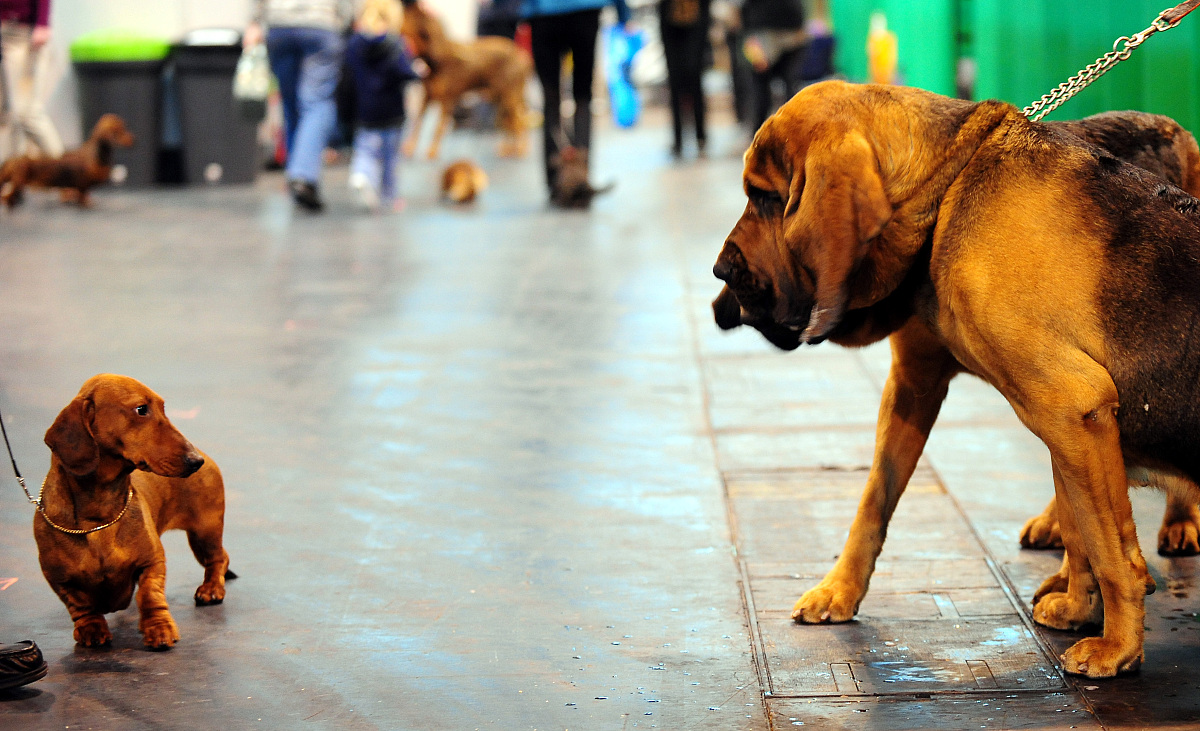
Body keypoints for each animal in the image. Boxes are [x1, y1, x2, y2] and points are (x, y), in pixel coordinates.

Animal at [0, 112, 133, 207]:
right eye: (120, 131)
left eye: (125, 127)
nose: (134, 140)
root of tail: (12, 159)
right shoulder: (82, 184)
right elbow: (83, 195)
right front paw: (86, 203)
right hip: (18, 181)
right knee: (9, 196)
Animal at [35, 374, 231, 648]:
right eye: (141, 409)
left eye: (163, 407)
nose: (195, 462)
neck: (98, 519)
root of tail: (206, 454)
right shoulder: (59, 579)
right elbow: (80, 606)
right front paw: (91, 629)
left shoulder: (153, 561)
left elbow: (150, 595)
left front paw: (159, 628)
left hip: (205, 531)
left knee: (219, 559)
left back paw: (211, 589)